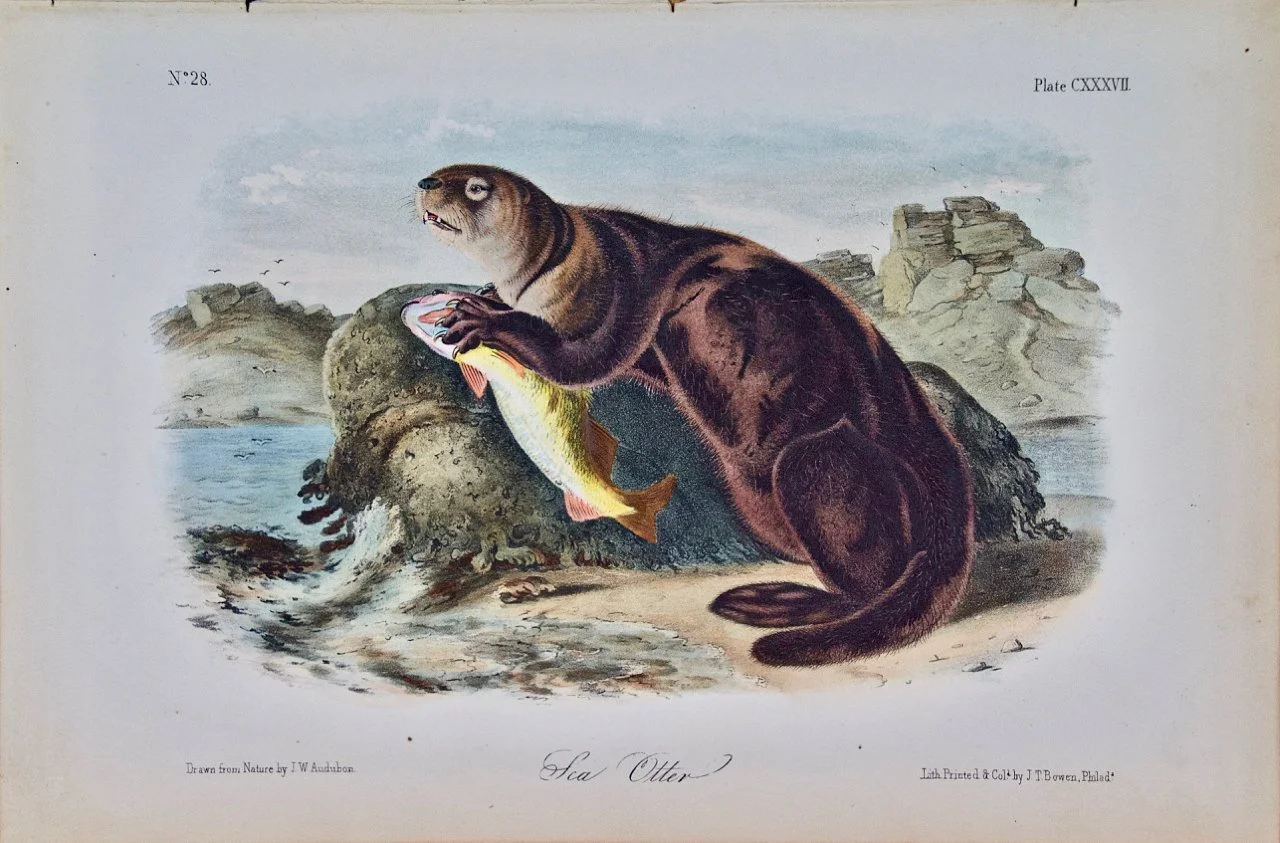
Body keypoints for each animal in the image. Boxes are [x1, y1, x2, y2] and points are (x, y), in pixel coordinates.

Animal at [416, 164, 975, 667]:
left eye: (476, 187)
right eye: (442, 173)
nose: (425, 183)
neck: (575, 253)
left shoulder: (621, 287)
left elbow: (583, 360)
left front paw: (482, 317)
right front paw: (485, 297)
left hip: (818, 459)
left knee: (866, 575)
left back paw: (780, 603)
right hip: (755, 503)